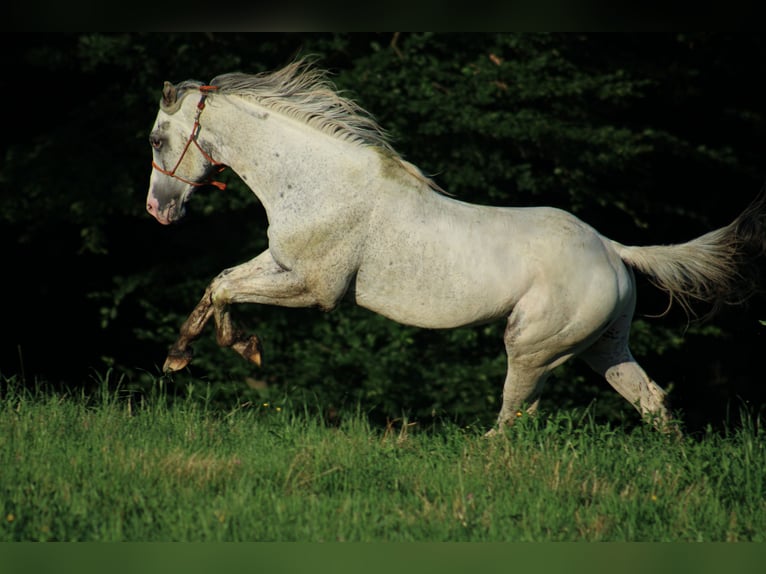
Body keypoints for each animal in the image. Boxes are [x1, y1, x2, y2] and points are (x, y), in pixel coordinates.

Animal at [146, 59, 766, 433]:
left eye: (156, 139)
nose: (158, 210)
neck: (319, 181)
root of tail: (613, 251)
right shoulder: (281, 262)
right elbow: (219, 284)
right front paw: (183, 356)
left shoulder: (316, 289)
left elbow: (228, 291)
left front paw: (239, 347)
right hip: (604, 345)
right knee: (652, 401)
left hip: (533, 347)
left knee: (515, 419)